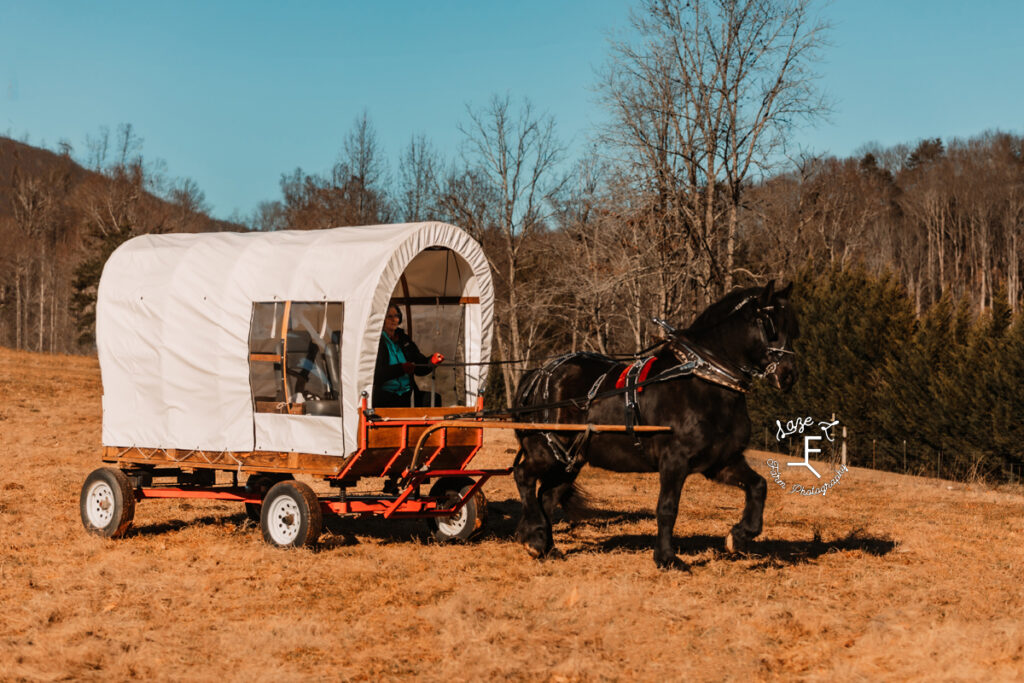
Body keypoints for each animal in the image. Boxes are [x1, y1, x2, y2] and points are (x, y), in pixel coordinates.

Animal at [512, 280, 798, 569]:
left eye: (793, 328)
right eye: (771, 326)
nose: (788, 376)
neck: (703, 382)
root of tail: (538, 375)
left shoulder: (721, 461)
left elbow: (758, 486)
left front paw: (737, 537)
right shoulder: (674, 460)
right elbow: (667, 508)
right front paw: (667, 558)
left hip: (571, 459)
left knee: (548, 496)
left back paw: (544, 546)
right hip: (546, 450)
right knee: (524, 476)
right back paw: (535, 536)